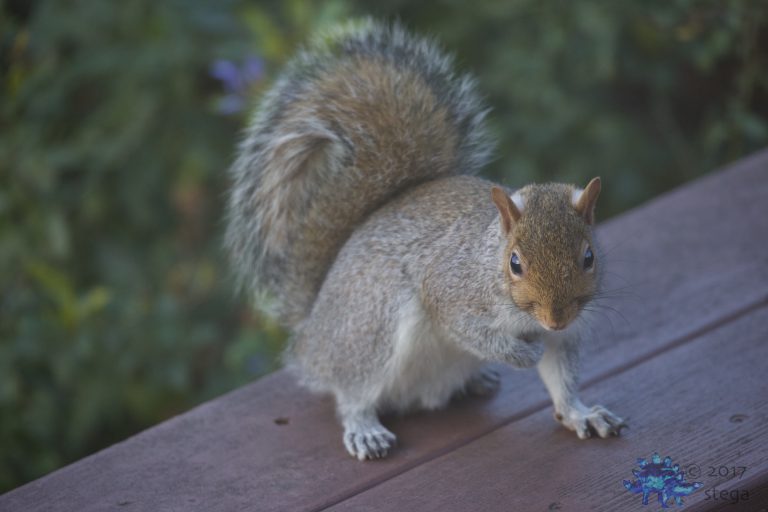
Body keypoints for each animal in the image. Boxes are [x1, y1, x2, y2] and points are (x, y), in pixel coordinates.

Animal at [226, 20, 626, 461]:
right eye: (515, 263)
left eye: (589, 257)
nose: (555, 319)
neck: (487, 258)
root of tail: (312, 332)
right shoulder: (450, 292)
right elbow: (473, 332)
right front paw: (524, 354)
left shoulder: (568, 331)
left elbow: (561, 375)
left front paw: (579, 412)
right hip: (371, 327)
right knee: (352, 391)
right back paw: (364, 426)